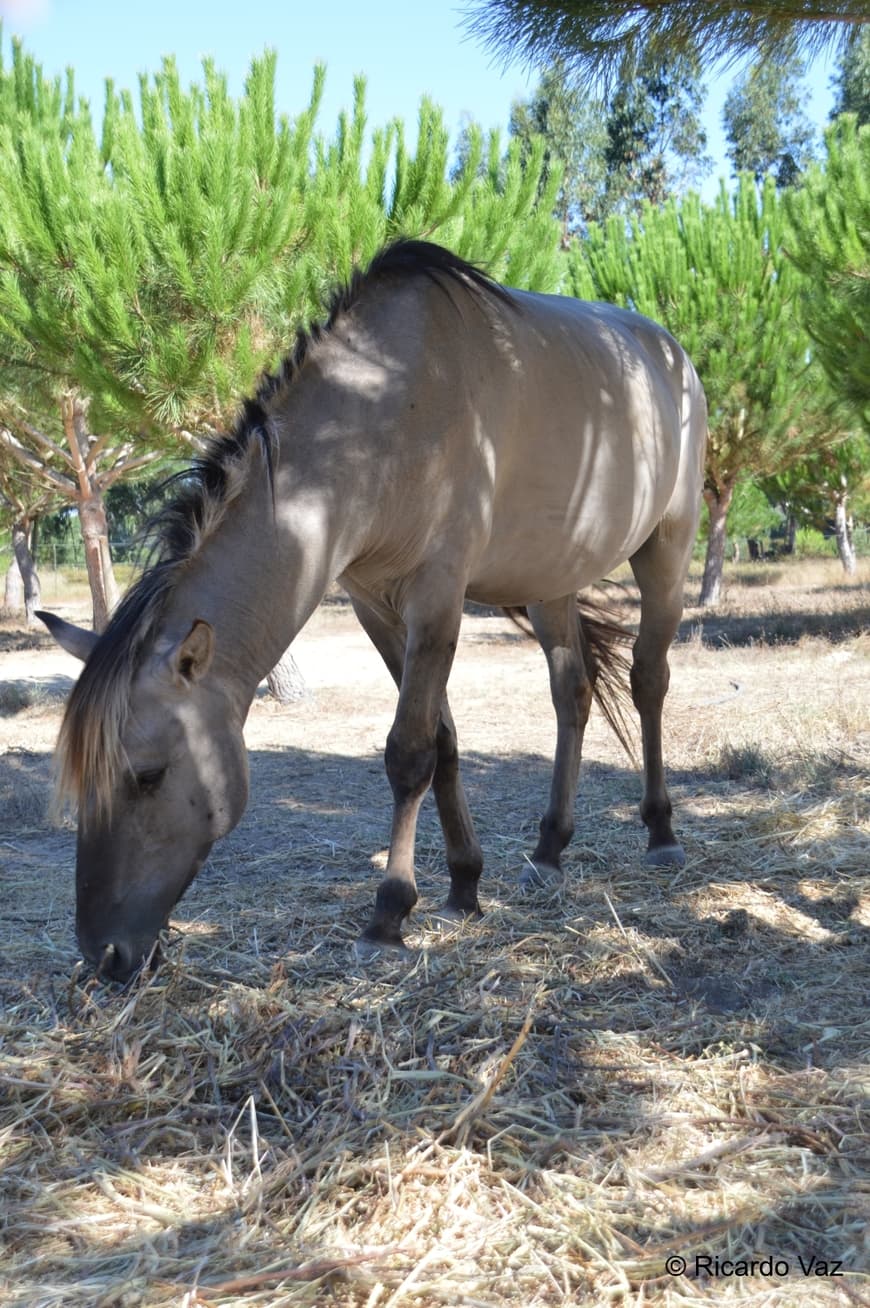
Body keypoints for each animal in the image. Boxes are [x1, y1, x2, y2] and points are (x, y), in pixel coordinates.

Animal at [40, 240, 706, 983]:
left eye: (149, 775)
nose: (103, 954)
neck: (379, 417)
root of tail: (671, 352)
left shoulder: (436, 600)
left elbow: (409, 752)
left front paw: (389, 914)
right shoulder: (376, 608)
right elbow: (443, 744)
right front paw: (464, 884)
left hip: (666, 550)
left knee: (649, 681)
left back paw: (661, 832)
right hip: (552, 580)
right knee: (573, 694)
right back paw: (549, 849)